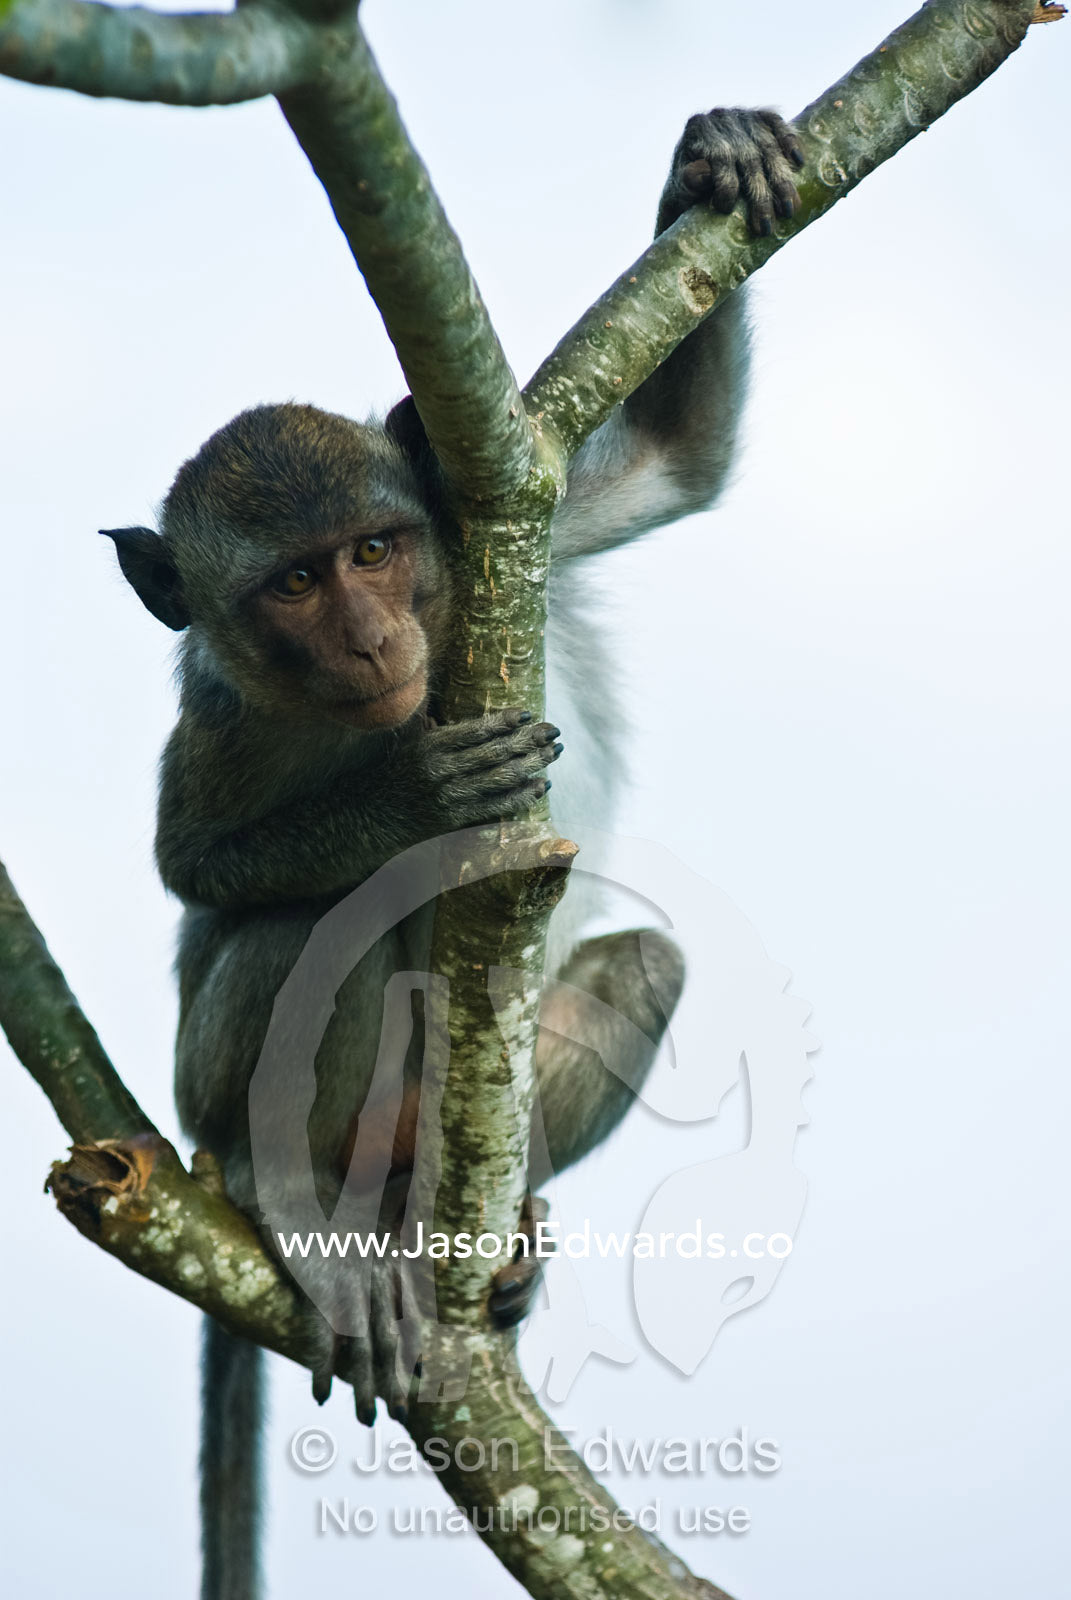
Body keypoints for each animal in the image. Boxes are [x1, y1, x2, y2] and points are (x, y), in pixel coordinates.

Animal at [105, 107, 803, 1600]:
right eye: (295, 584)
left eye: (378, 549)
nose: (374, 639)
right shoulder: (221, 715)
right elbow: (194, 868)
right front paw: (416, 797)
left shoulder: (510, 541)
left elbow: (678, 464)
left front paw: (715, 161)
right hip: (208, 1101)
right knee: (310, 931)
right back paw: (289, 1196)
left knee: (638, 969)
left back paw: (507, 1244)